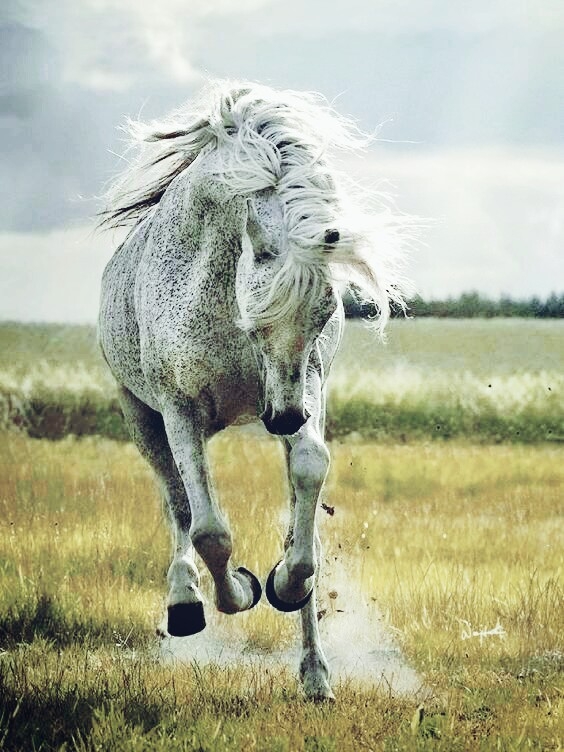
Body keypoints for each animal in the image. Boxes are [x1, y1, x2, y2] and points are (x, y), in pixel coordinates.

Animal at [98, 81, 409, 701]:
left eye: (324, 315)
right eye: (259, 318)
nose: (285, 419)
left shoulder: (306, 387)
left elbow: (309, 485)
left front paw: (284, 583)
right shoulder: (179, 411)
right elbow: (208, 530)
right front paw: (239, 590)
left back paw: (315, 675)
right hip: (142, 418)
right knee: (177, 505)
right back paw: (185, 602)